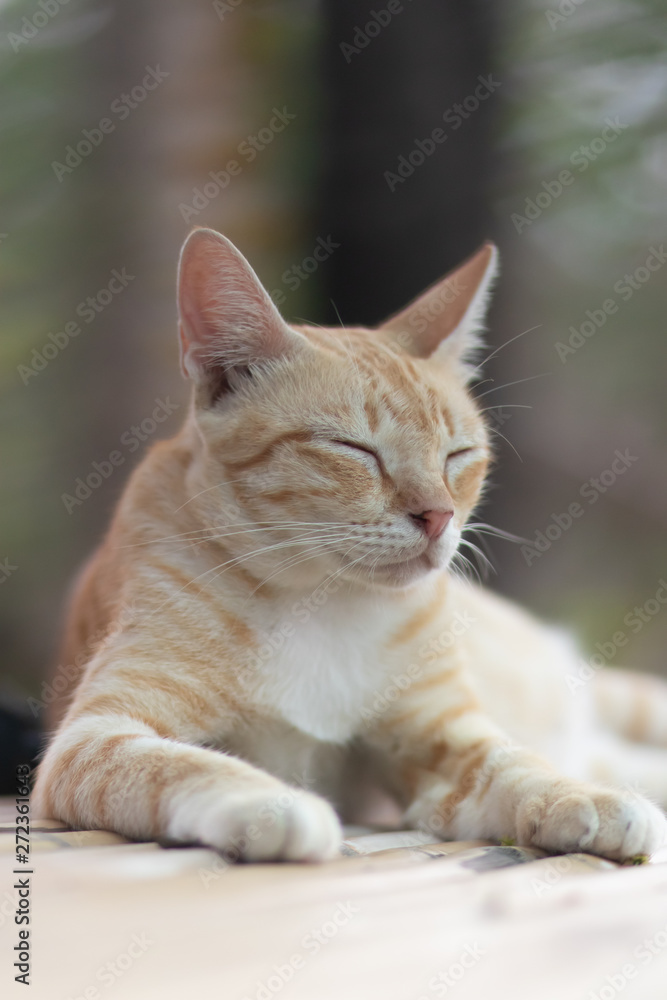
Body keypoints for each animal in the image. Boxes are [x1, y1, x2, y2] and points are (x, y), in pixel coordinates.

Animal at [34, 227, 667, 860]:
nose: (438, 516)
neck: (320, 603)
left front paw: (585, 798)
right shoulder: (96, 736)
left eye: (458, 455)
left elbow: (516, 766)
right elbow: (183, 764)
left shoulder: (443, 744)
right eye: (354, 449)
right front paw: (273, 804)